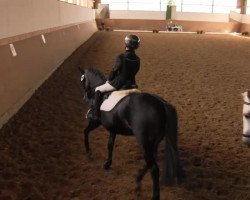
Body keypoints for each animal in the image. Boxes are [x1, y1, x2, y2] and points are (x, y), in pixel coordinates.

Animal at [79, 68, 185, 199]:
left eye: (82, 80)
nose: (85, 97)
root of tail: (162, 104)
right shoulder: (113, 129)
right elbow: (110, 145)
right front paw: (107, 164)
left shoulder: (95, 122)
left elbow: (85, 132)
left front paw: (89, 153)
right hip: (153, 141)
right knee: (151, 160)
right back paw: (138, 180)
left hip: (144, 141)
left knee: (154, 168)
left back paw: (153, 194)